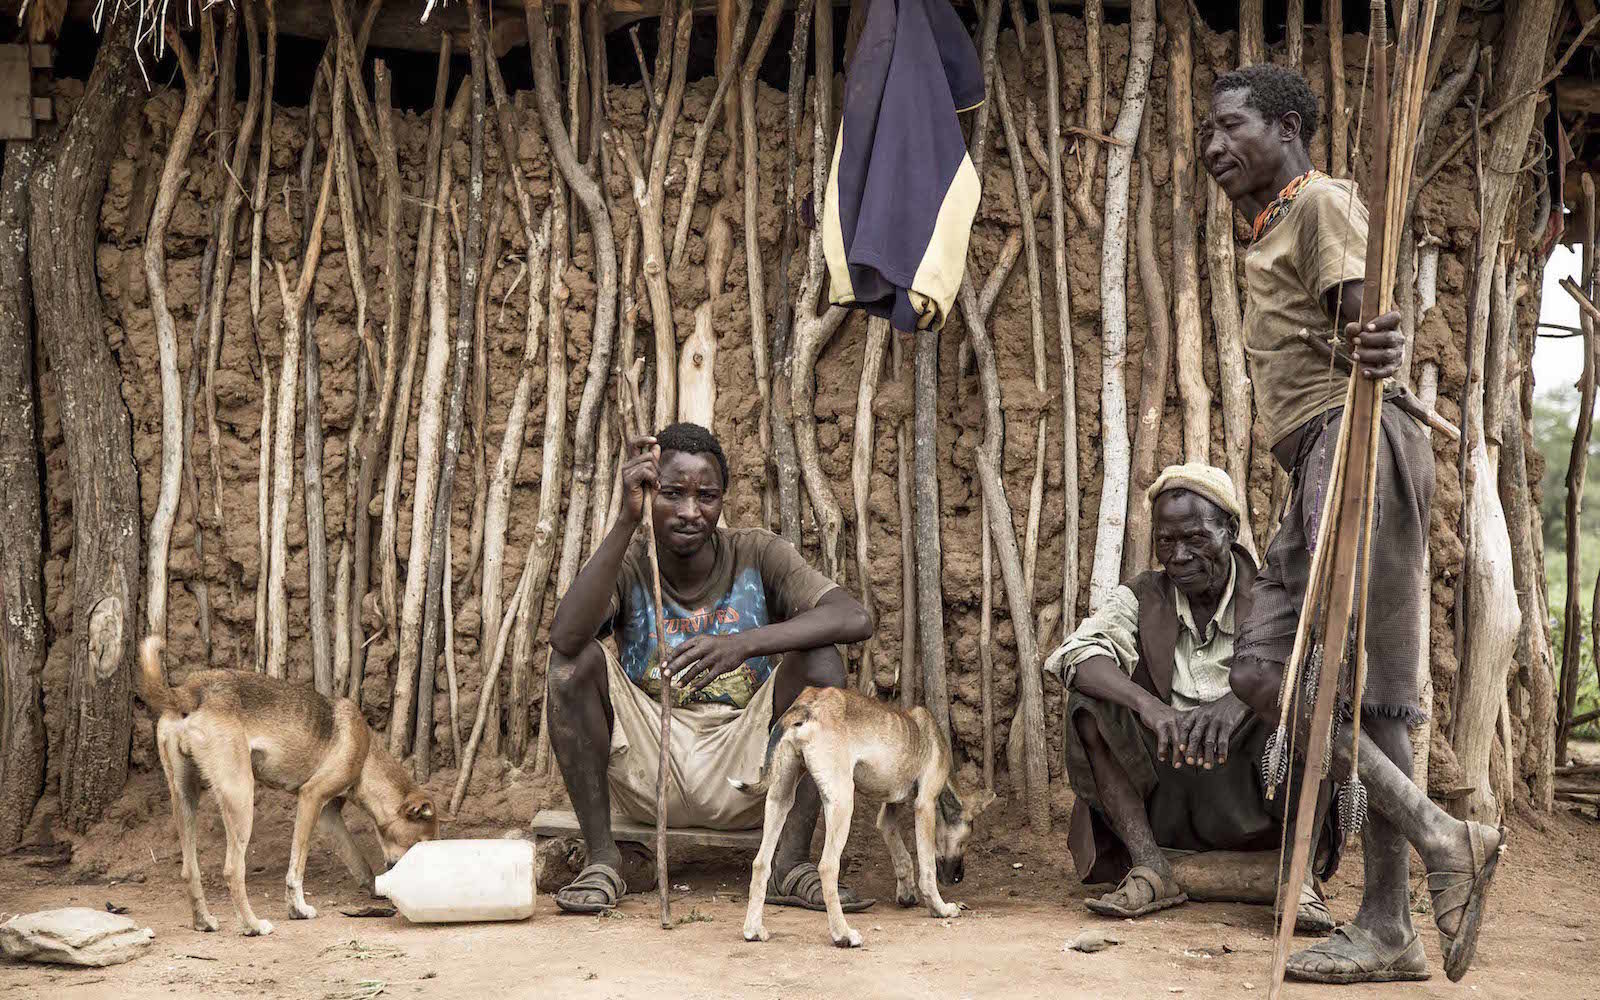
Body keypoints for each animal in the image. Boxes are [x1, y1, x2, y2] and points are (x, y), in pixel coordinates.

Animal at [136, 636, 438, 934]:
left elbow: (358, 861)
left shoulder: (328, 815)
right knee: (233, 869)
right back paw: (253, 925)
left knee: (189, 870)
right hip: (240, 796)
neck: (366, 757)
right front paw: (298, 909)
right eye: (419, 845)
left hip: (184, 795)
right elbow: (296, 868)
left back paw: (204, 921)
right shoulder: (311, 797)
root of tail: (192, 689)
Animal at [732, 681, 992, 947]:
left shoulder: (888, 814)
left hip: (779, 797)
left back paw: (753, 929)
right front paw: (940, 908)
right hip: (842, 801)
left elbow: (902, 857)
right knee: (827, 866)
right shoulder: (925, 805)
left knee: (760, 863)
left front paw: (907, 893)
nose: (959, 877)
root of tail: (808, 703)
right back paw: (843, 934)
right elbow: (927, 868)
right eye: (966, 840)